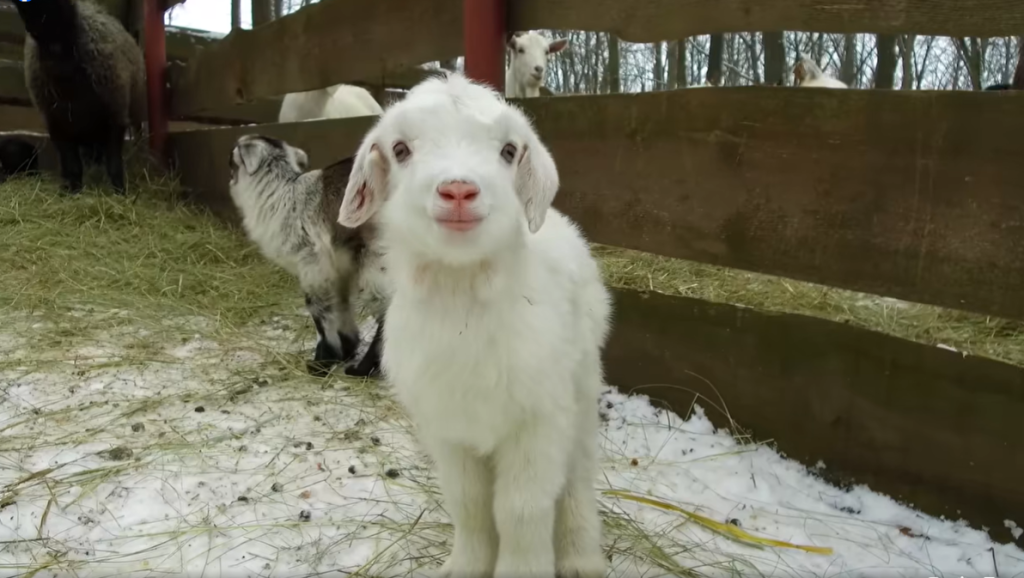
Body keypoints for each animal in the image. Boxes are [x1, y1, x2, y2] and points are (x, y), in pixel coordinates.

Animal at [8, 0, 145, 196]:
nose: (54, 58)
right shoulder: (58, 125)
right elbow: (71, 164)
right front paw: (71, 191)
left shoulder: (115, 116)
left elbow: (114, 163)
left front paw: (119, 192)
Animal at [337, 73, 606, 578]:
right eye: (400, 149)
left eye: (508, 150)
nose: (459, 191)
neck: (463, 299)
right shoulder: (449, 430)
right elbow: (470, 504)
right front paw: (465, 566)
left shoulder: (537, 423)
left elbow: (521, 509)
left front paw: (524, 571)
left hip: (581, 389)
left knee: (577, 475)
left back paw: (582, 558)